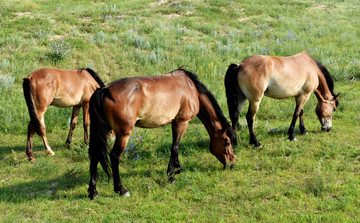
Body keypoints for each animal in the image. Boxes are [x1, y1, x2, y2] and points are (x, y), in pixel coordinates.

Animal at [87, 67, 236, 199]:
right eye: (227, 142)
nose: (232, 164)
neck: (190, 88)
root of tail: (104, 90)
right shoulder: (182, 122)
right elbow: (175, 147)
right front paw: (171, 175)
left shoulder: (174, 122)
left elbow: (175, 147)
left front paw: (178, 168)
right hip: (123, 135)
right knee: (114, 156)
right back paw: (121, 189)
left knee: (95, 154)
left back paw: (93, 191)